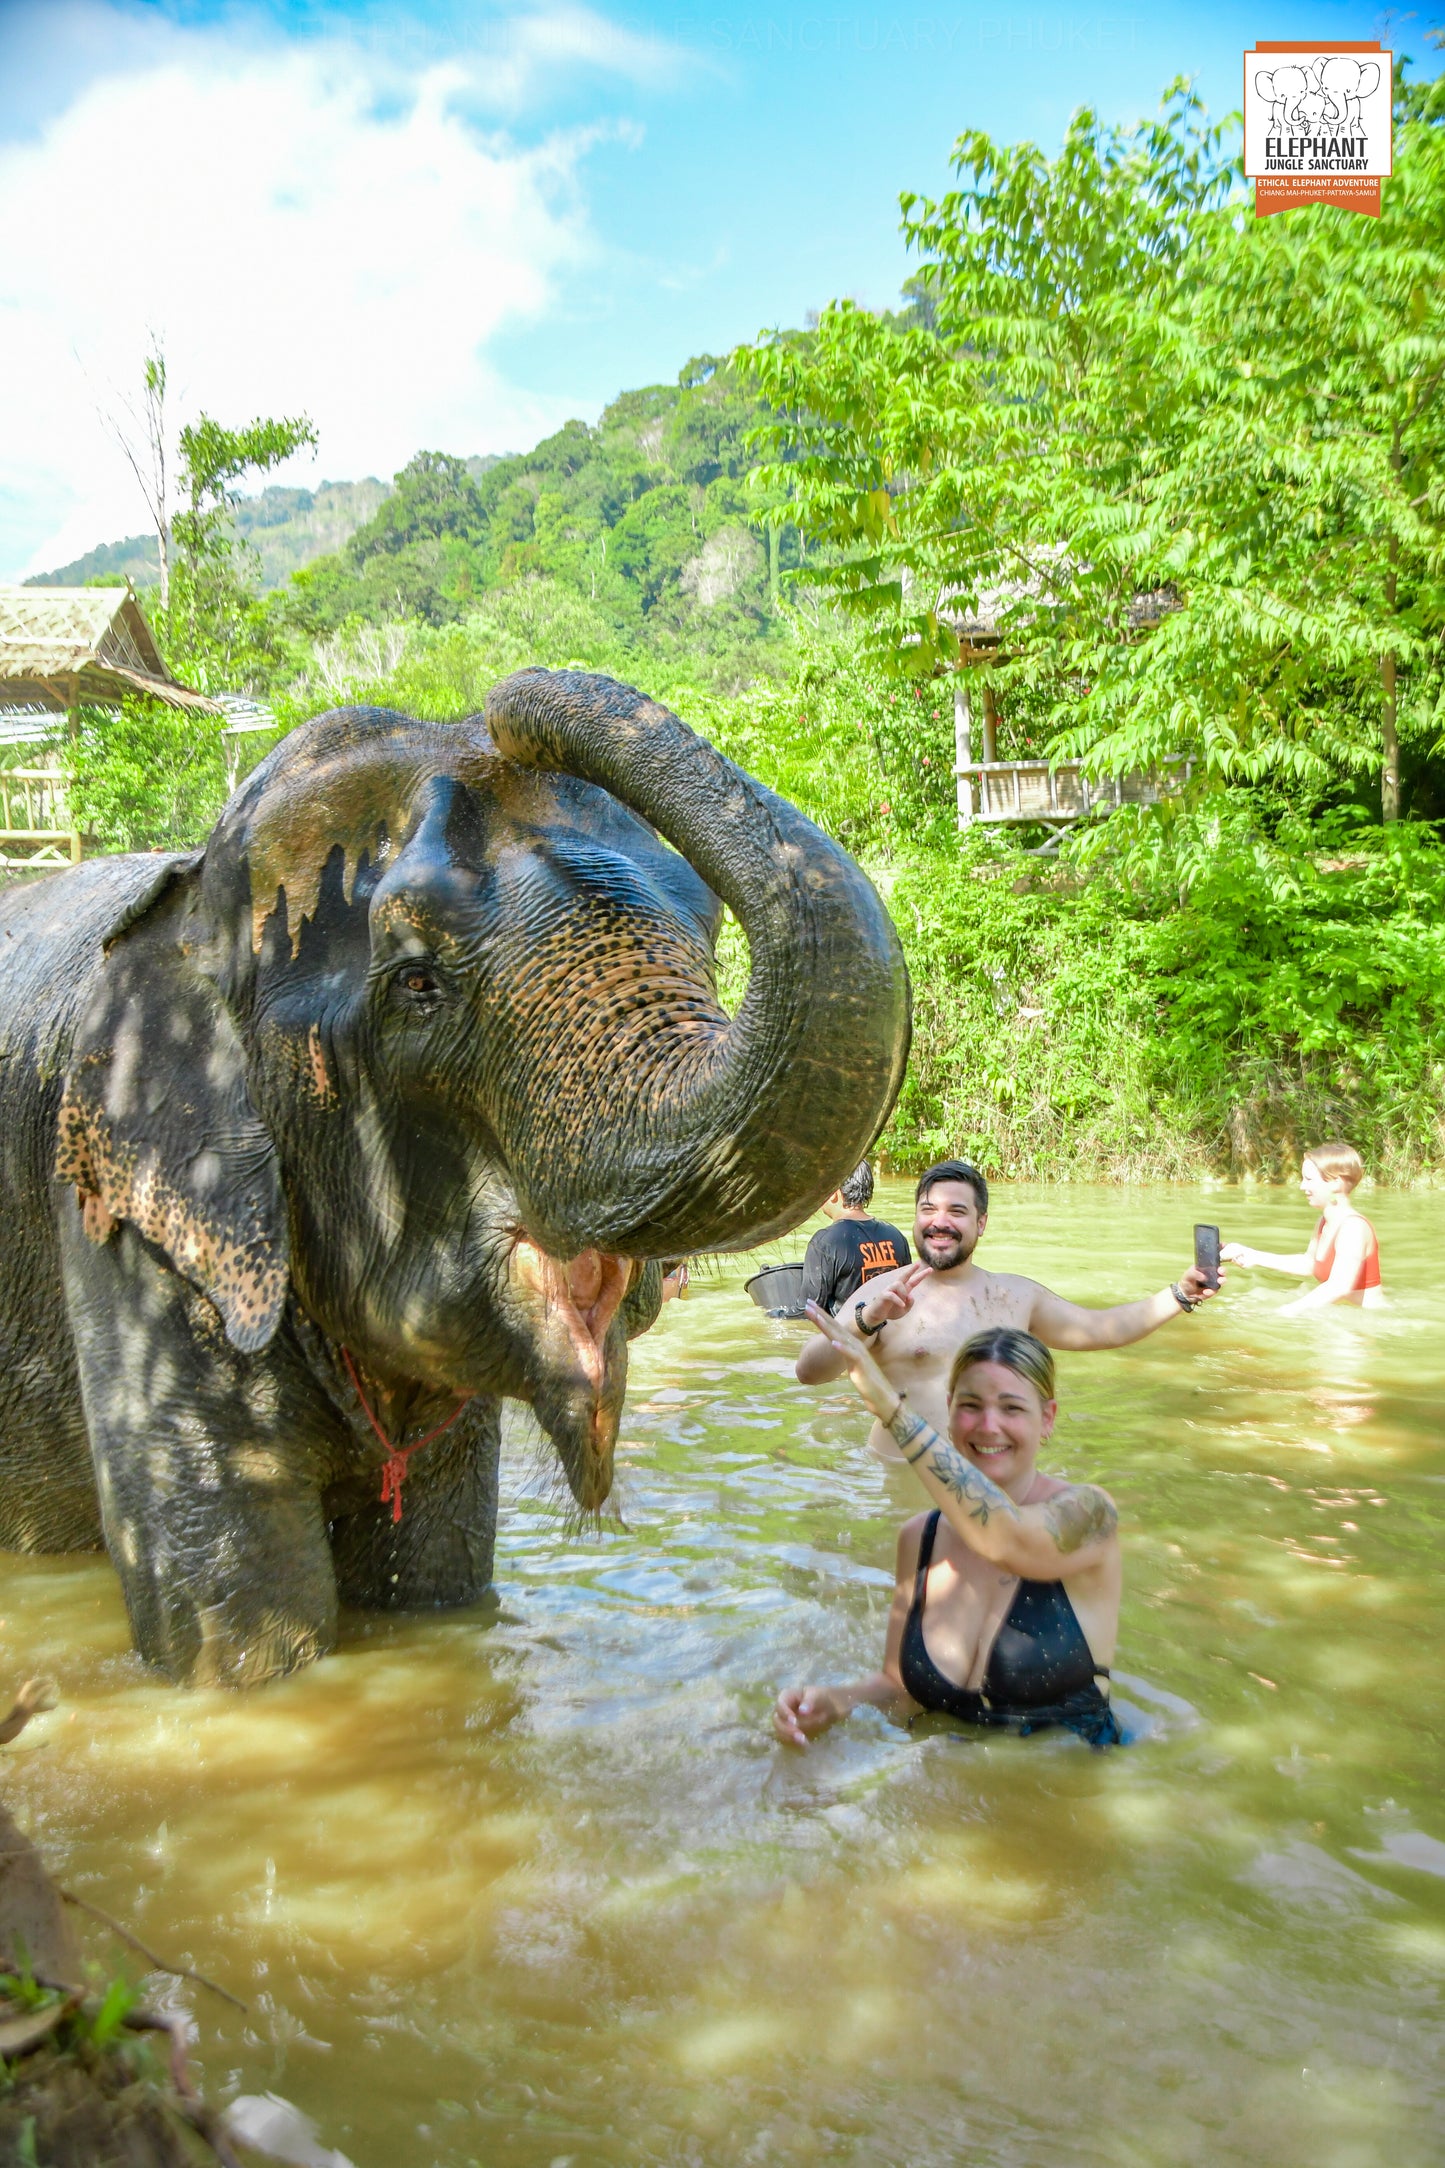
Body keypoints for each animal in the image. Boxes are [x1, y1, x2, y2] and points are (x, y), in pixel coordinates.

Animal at [0, 667, 905, 1682]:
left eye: (707, 934)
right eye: (417, 984)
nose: (508, 703)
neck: (193, 906)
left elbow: (434, 1576)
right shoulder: (129, 1227)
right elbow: (248, 1641)